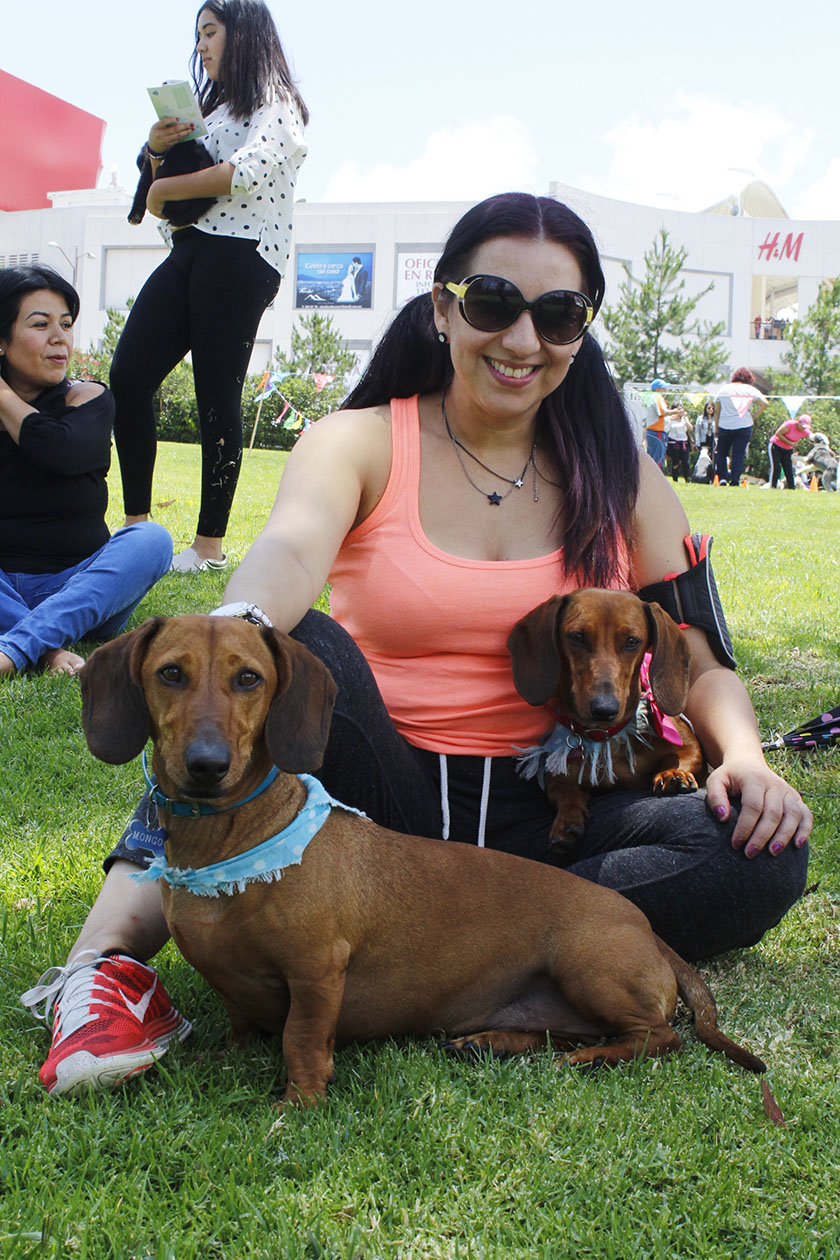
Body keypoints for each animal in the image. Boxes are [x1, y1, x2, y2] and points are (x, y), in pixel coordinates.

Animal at [508, 590, 706, 856]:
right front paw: (567, 820)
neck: (608, 737)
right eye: (576, 637)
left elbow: (685, 756)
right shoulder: (561, 772)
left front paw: (673, 773)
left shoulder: (688, 742)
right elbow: (563, 789)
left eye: (632, 641)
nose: (604, 709)